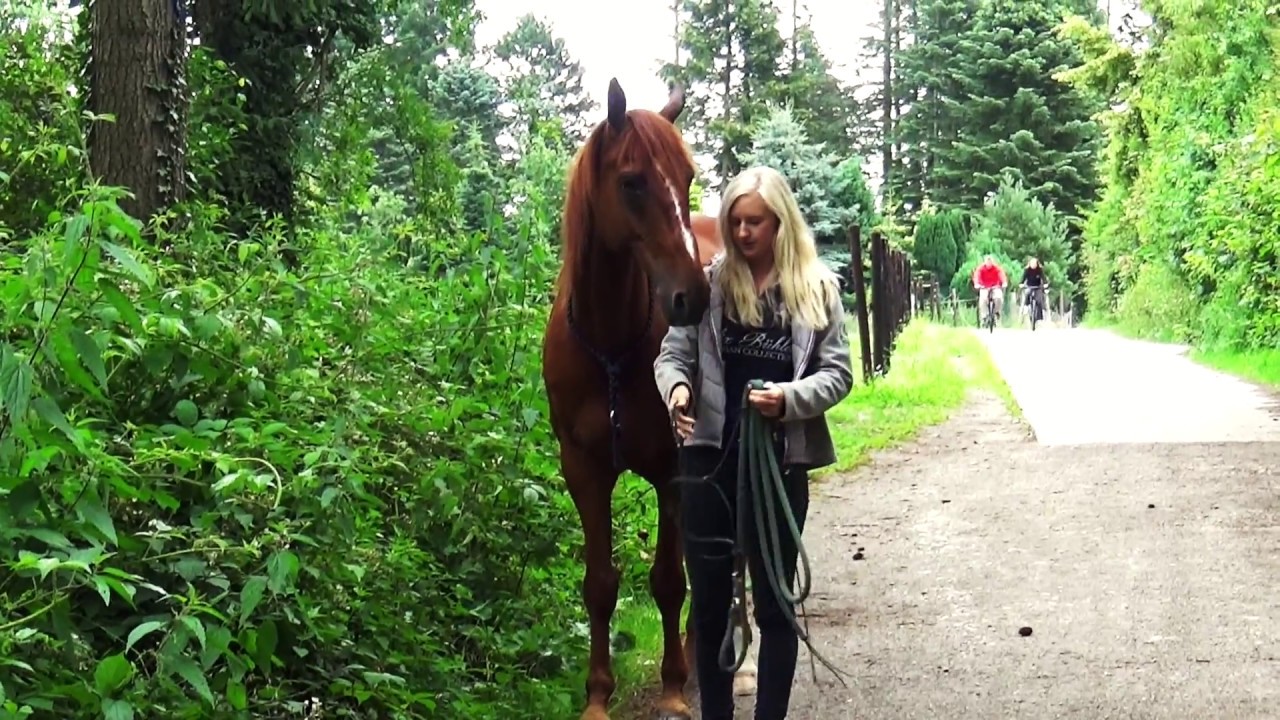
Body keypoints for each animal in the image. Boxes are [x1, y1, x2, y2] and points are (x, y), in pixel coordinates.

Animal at [541, 78, 726, 720]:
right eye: (632, 181)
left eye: (688, 176)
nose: (691, 296)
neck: (611, 348)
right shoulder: (583, 469)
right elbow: (599, 582)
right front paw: (598, 694)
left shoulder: (671, 468)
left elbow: (668, 579)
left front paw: (672, 687)